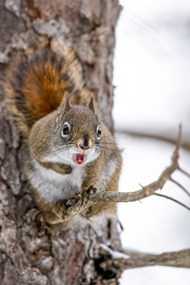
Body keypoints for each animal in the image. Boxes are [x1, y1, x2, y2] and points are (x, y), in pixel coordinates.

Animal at [4, 50, 123, 224]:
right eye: (65, 129)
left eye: (99, 131)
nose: (85, 144)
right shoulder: (38, 144)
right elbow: (43, 162)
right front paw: (63, 169)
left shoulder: (97, 159)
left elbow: (93, 172)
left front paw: (85, 191)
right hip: (42, 188)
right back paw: (56, 210)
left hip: (109, 183)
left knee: (99, 208)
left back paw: (89, 207)